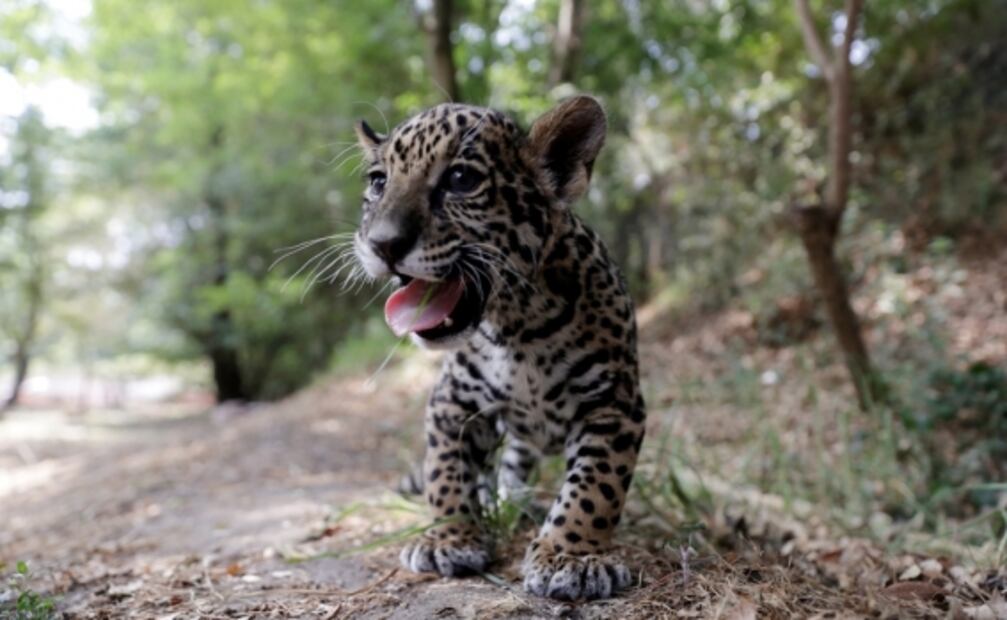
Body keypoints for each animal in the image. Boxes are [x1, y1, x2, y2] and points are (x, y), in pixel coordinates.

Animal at [350, 95, 646, 601]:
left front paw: (571, 556)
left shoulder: (615, 405)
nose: (382, 244)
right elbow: (445, 474)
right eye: (378, 182)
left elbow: (594, 487)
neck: (518, 326)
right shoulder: (452, 402)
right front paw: (450, 538)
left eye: (460, 179)